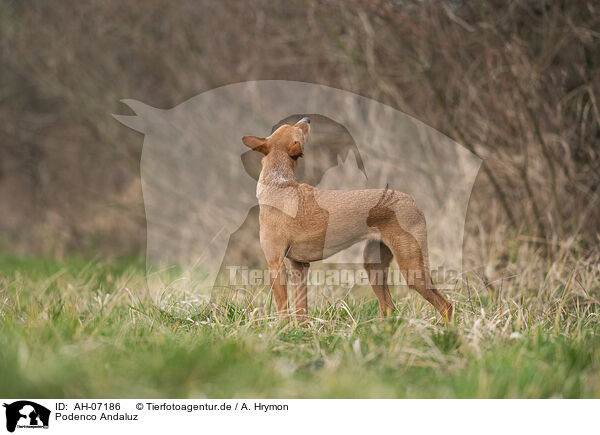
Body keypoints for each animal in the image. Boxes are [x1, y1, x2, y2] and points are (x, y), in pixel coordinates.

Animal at [241, 117, 452, 322]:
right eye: (296, 128)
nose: (307, 119)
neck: (278, 184)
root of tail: (410, 199)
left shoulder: (275, 263)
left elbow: (283, 311)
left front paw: (282, 330)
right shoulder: (298, 266)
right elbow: (301, 312)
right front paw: (300, 331)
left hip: (412, 268)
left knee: (445, 306)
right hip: (374, 266)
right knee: (389, 308)